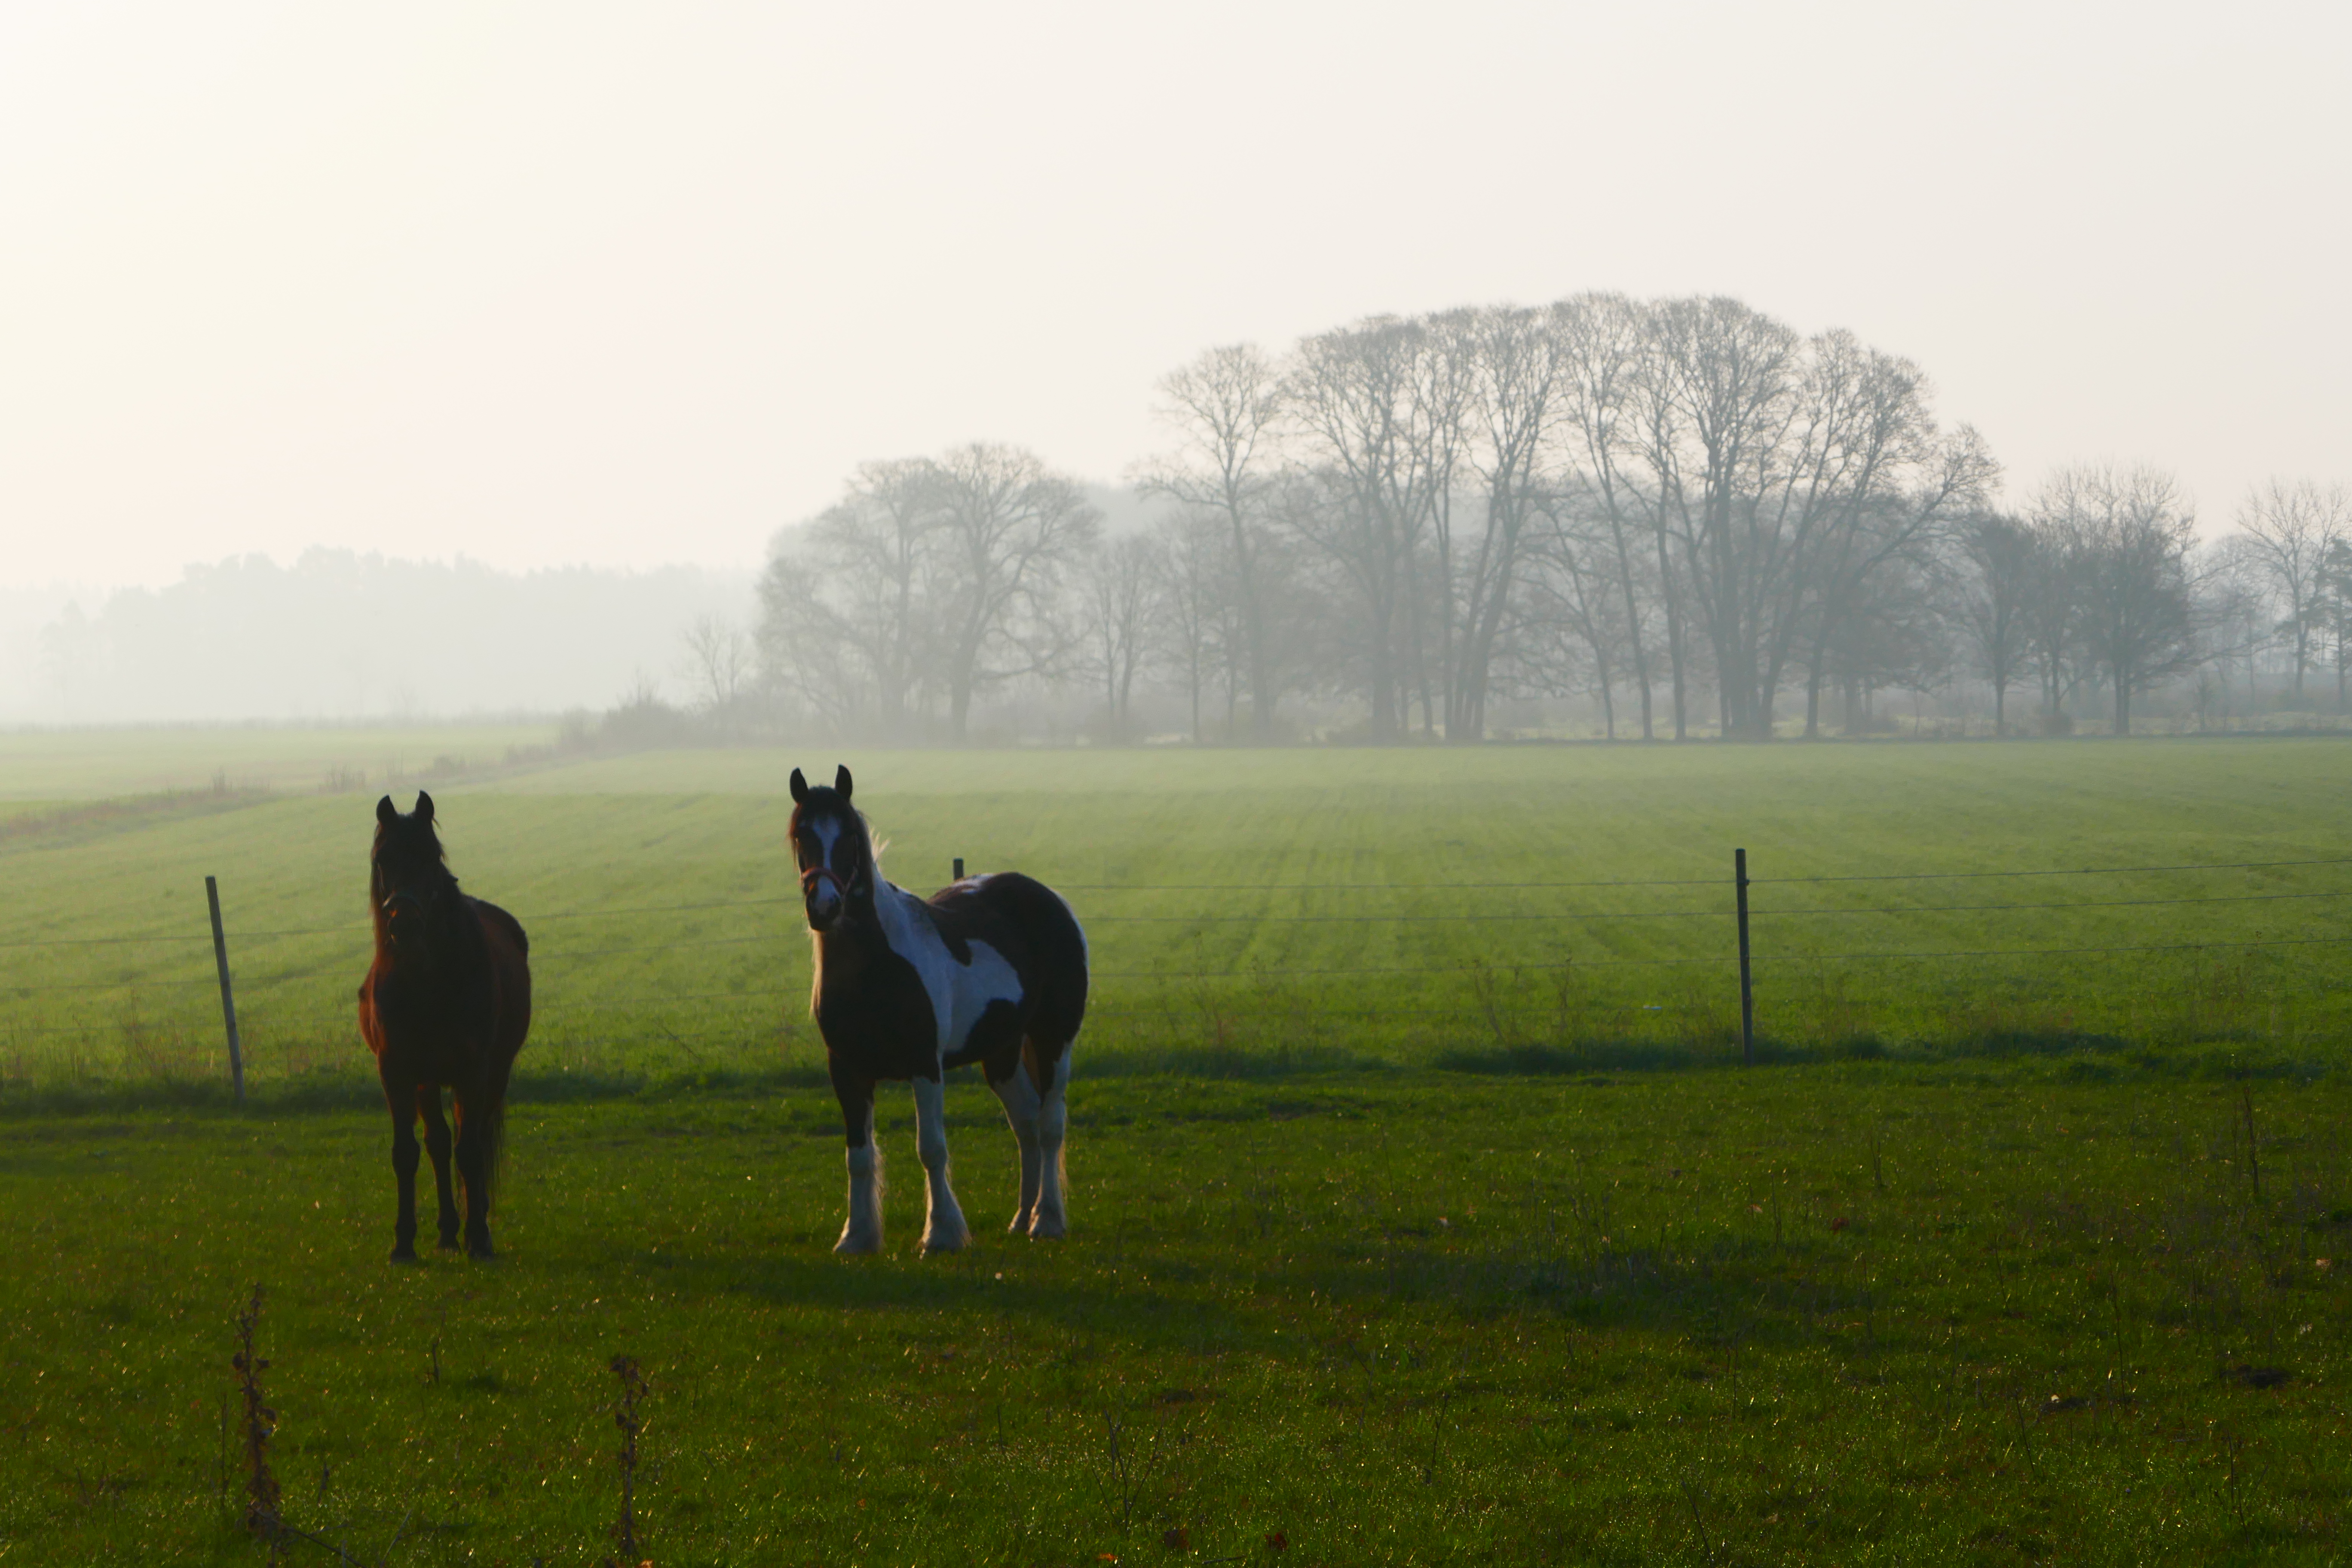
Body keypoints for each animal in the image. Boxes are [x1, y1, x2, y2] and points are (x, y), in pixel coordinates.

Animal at [357, 792, 532, 1261]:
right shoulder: (397, 1072)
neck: (426, 981)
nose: (404, 924)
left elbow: (470, 1152)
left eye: (431, 856)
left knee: (474, 1140)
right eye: (383, 858)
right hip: (428, 1080)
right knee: (437, 1143)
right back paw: (448, 1231)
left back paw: (474, 1225)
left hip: (493, 1075)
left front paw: (481, 1238)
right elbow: (407, 1152)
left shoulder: (474, 1071)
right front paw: (403, 1242)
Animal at [789, 765, 1089, 1254]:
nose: (825, 907)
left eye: (850, 835)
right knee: (1025, 1124)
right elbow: (858, 1156)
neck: (876, 966)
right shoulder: (847, 1071)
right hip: (1001, 1056)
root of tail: (1050, 898)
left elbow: (930, 1148)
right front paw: (857, 1236)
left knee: (1049, 1126)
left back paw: (1047, 1220)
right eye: (802, 835)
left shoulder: (925, 1066)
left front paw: (942, 1233)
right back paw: (1021, 1218)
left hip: (1053, 1042)